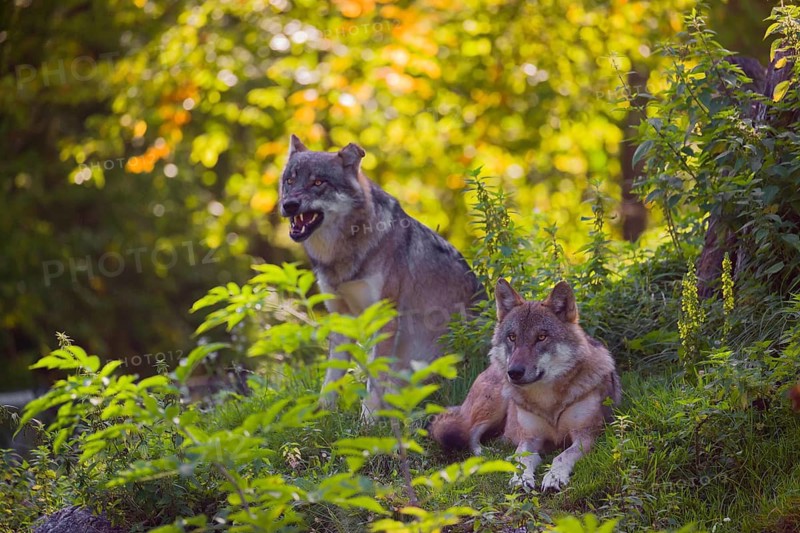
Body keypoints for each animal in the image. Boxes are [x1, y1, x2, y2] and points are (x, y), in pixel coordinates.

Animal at [278, 135, 484, 418]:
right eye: (290, 180)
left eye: (318, 182)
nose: (289, 205)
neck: (344, 252)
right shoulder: (340, 317)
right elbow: (331, 378)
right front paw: (323, 415)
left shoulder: (384, 317)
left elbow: (374, 381)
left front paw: (367, 421)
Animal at [430, 279, 621, 491]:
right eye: (512, 337)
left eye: (541, 337)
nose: (513, 372)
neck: (548, 402)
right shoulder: (530, 438)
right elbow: (524, 459)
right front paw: (521, 479)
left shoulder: (586, 435)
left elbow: (562, 456)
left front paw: (554, 477)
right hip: (494, 405)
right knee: (471, 436)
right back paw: (493, 454)